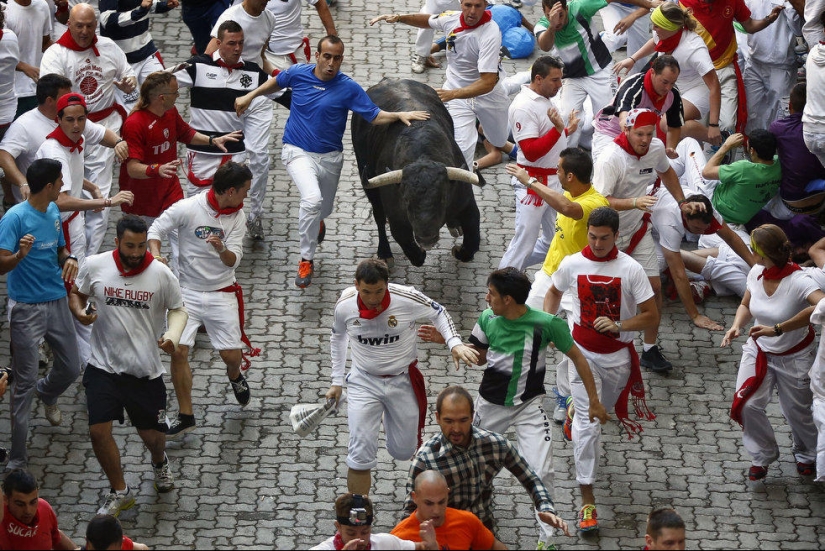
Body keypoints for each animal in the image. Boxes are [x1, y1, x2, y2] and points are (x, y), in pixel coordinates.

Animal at [350, 78, 482, 268]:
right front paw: (419, 253)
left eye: (443, 198)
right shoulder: (396, 217)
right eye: (406, 200)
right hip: (366, 176)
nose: (426, 238)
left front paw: (459, 250)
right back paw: (384, 253)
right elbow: (409, 247)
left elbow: (472, 241)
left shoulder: (467, 204)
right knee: (379, 216)